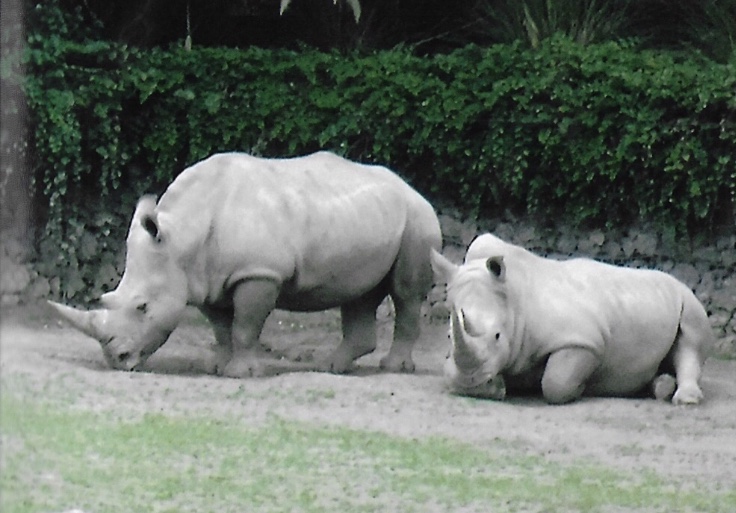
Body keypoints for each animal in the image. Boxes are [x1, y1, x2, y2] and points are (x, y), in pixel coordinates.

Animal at [49, 151, 442, 377]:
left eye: (142, 306)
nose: (117, 359)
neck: (182, 235)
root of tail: (411, 188)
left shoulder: (258, 273)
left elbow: (244, 326)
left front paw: (241, 373)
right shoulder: (206, 279)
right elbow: (222, 329)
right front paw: (218, 368)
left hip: (418, 221)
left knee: (406, 293)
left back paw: (393, 368)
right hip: (369, 219)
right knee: (358, 294)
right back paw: (332, 368)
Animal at [430, 233, 714, 405]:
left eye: (498, 336)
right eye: (448, 335)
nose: (471, 386)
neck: (515, 298)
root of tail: (679, 281)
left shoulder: (584, 342)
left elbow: (555, 382)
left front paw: (581, 388)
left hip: (687, 298)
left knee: (690, 340)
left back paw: (684, 399)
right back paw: (659, 387)